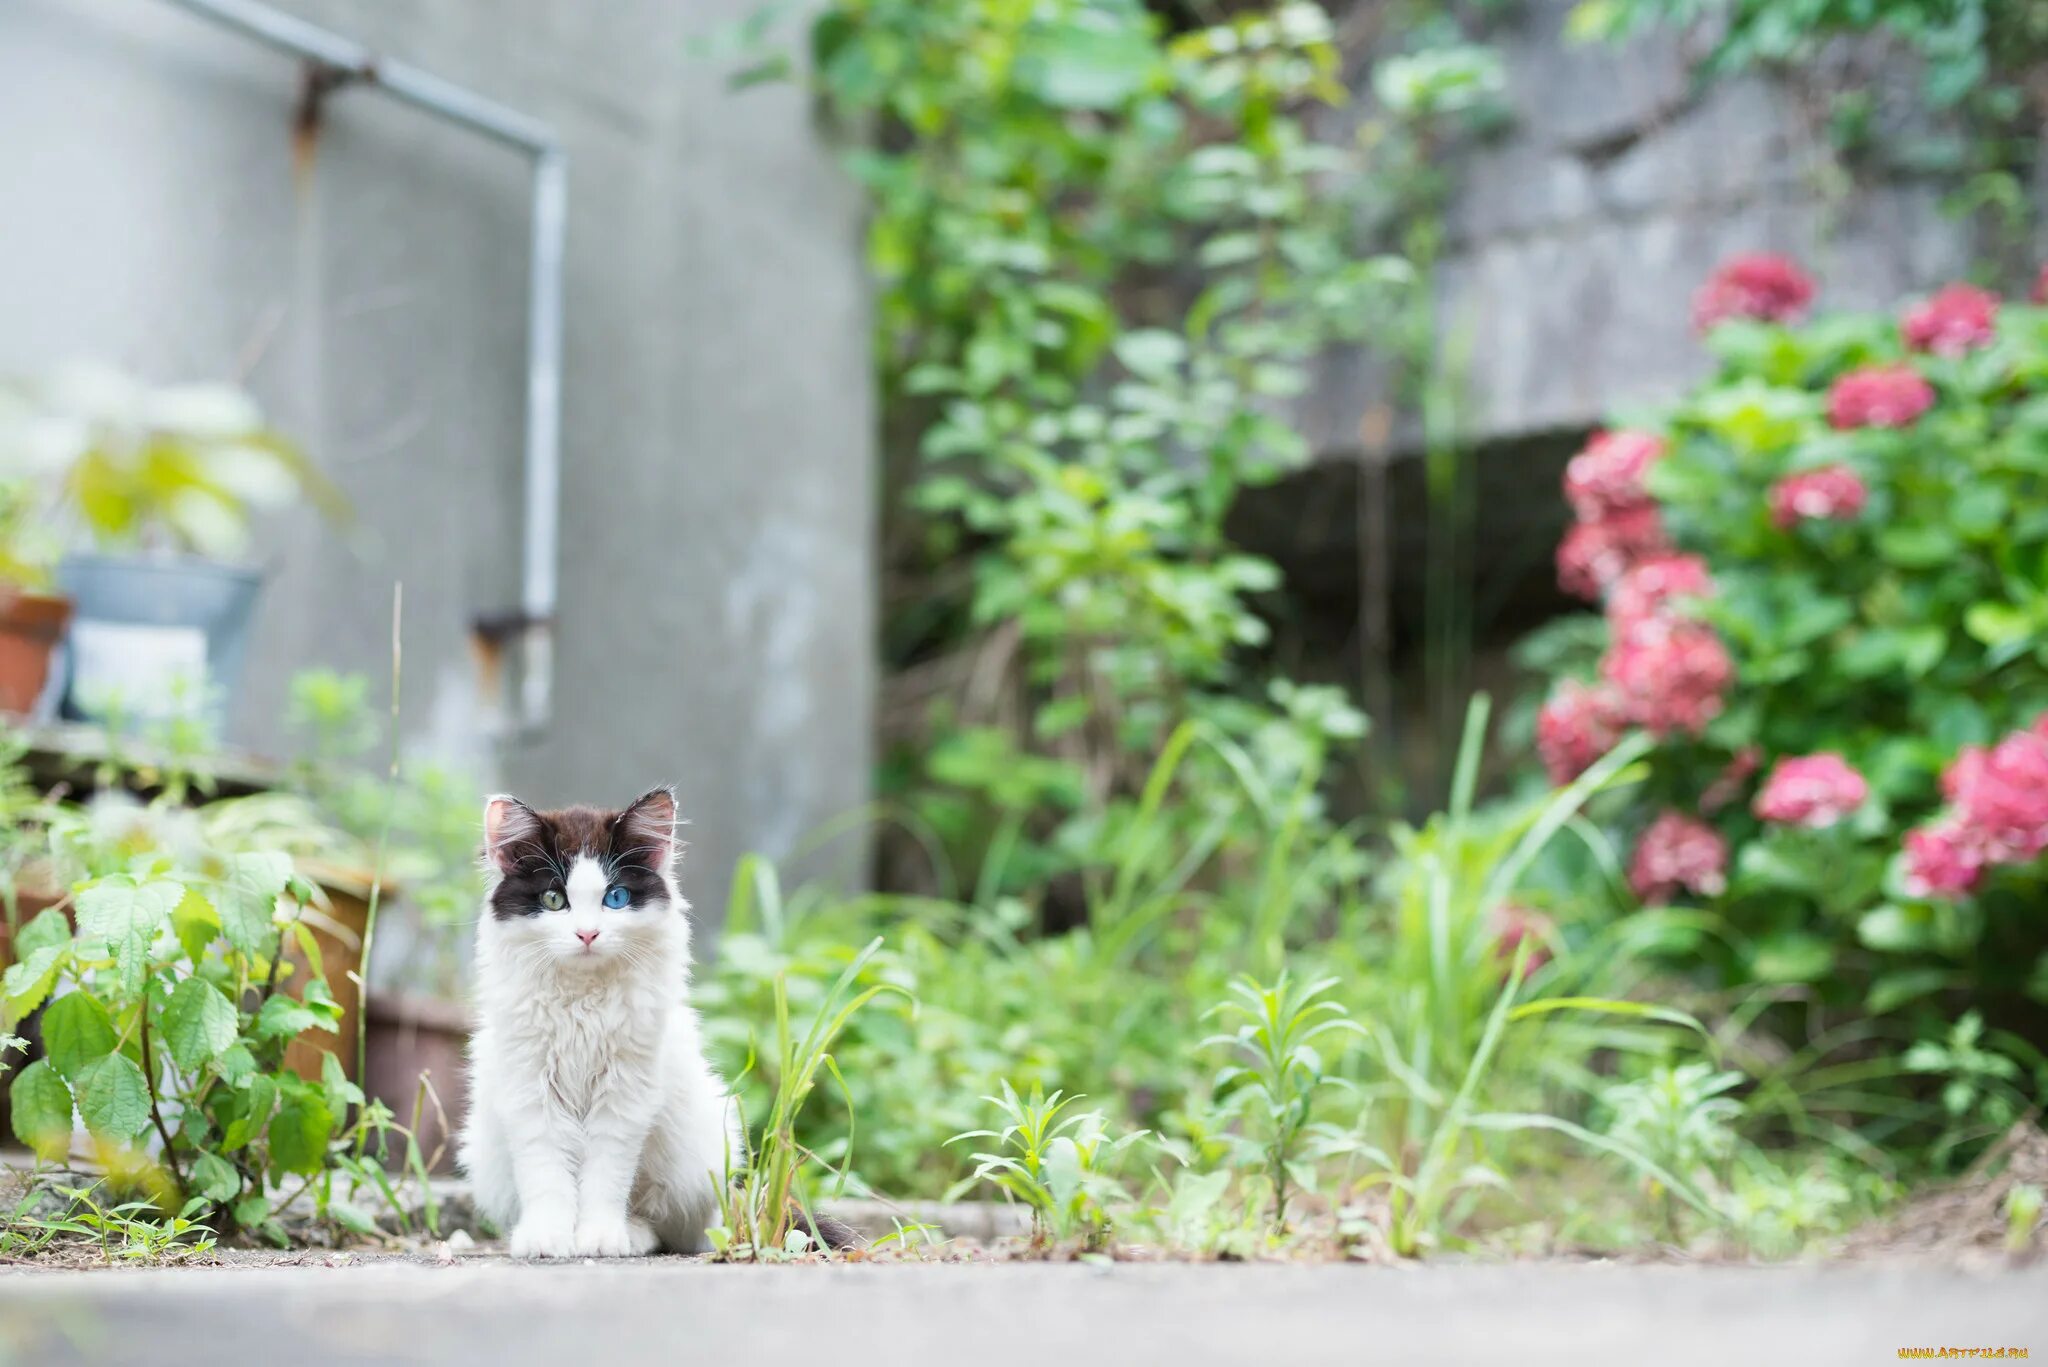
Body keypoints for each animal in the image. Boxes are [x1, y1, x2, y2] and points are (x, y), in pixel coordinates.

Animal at [456, 786, 737, 1254]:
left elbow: (605, 1177)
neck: (581, 1002)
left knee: (674, 1227)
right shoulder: (531, 1090)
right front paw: (547, 1237)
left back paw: (634, 1233)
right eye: (554, 900)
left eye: (616, 898)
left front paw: (600, 1237)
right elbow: (546, 1175)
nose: (587, 934)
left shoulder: (624, 1094)